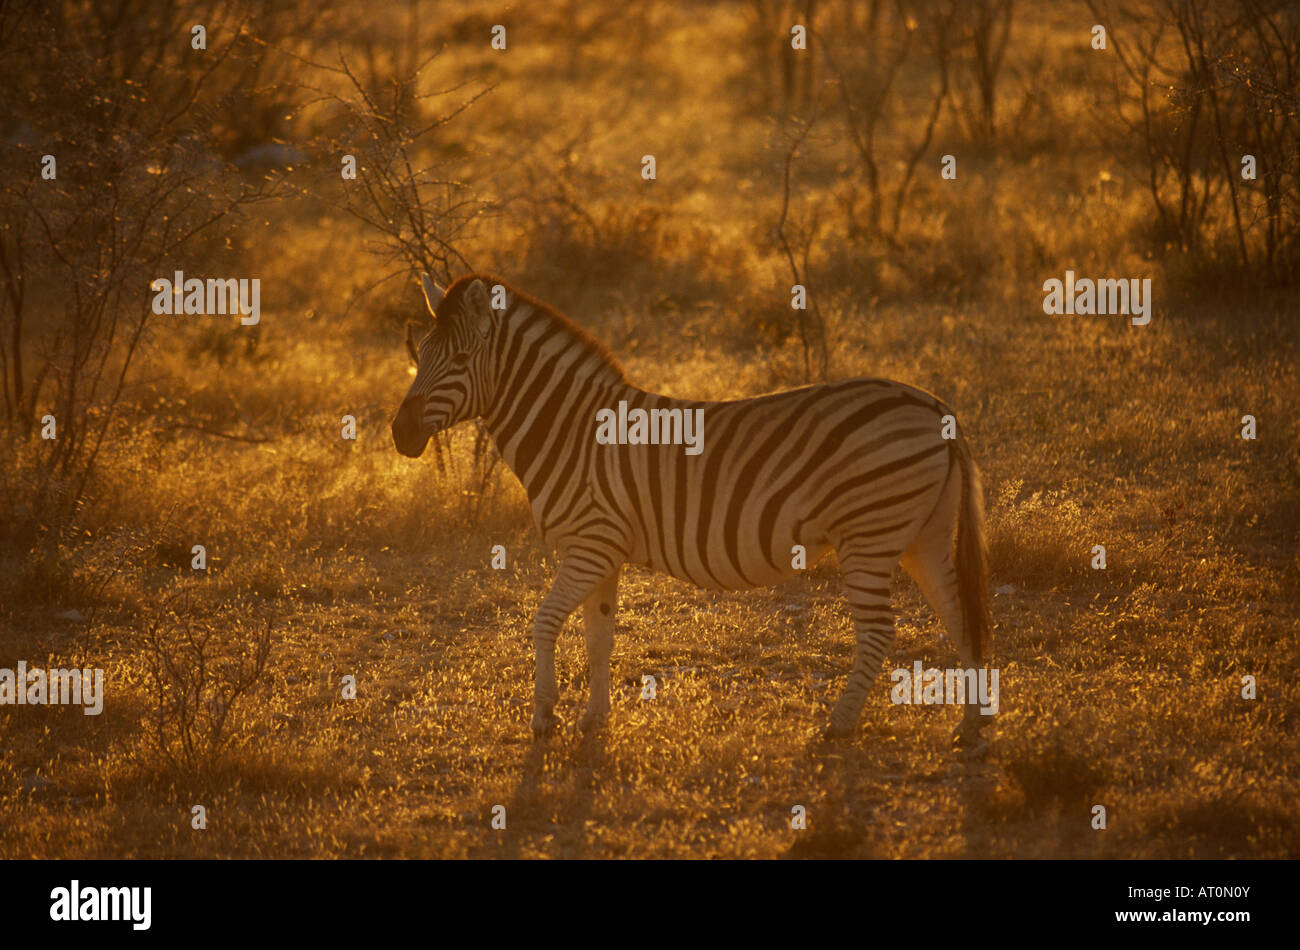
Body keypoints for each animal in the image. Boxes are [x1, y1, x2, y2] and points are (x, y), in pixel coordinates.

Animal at [392, 273, 991, 742]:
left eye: (461, 358)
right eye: (419, 357)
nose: (399, 434)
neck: (572, 432)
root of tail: (935, 405)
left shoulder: (588, 545)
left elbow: (544, 622)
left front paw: (544, 717)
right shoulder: (604, 553)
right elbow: (599, 638)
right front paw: (594, 720)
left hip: (869, 535)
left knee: (879, 633)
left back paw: (840, 725)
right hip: (923, 535)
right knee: (961, 611)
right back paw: (971, 723)